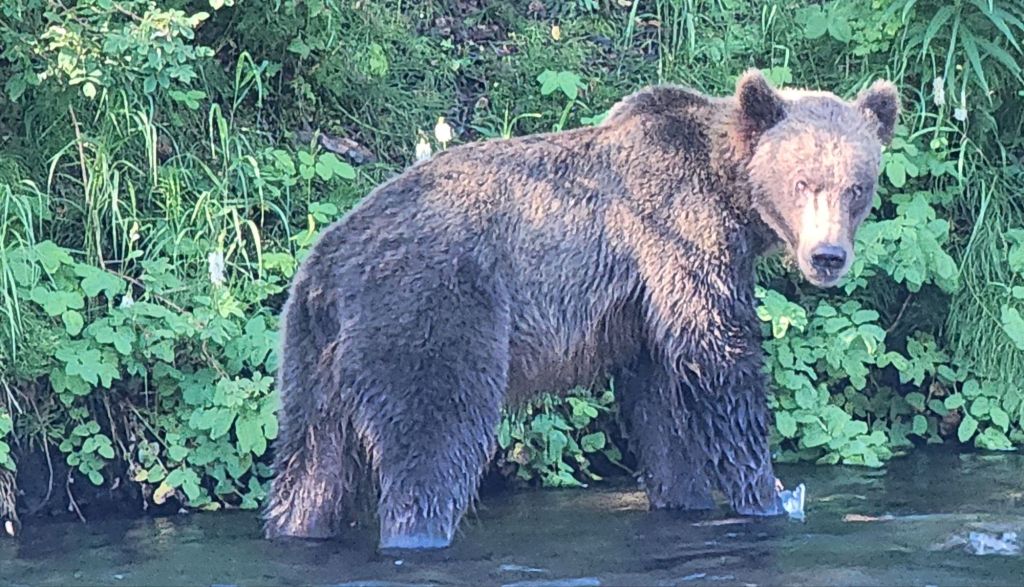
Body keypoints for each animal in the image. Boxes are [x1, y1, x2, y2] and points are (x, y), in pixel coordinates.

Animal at [262, 69, 900, 550]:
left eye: (857, 186)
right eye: (803, 181)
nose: (827, 256)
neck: (731, 192)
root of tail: (330, 267)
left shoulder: (641, 309)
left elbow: (660, 406)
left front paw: (685, 496)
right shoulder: (678, 236)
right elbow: (717, 359)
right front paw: (765, 495)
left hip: (309, 358)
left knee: (310, 466)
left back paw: (297, 526)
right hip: (430, 312)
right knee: (435, 440)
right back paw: (418, 533)